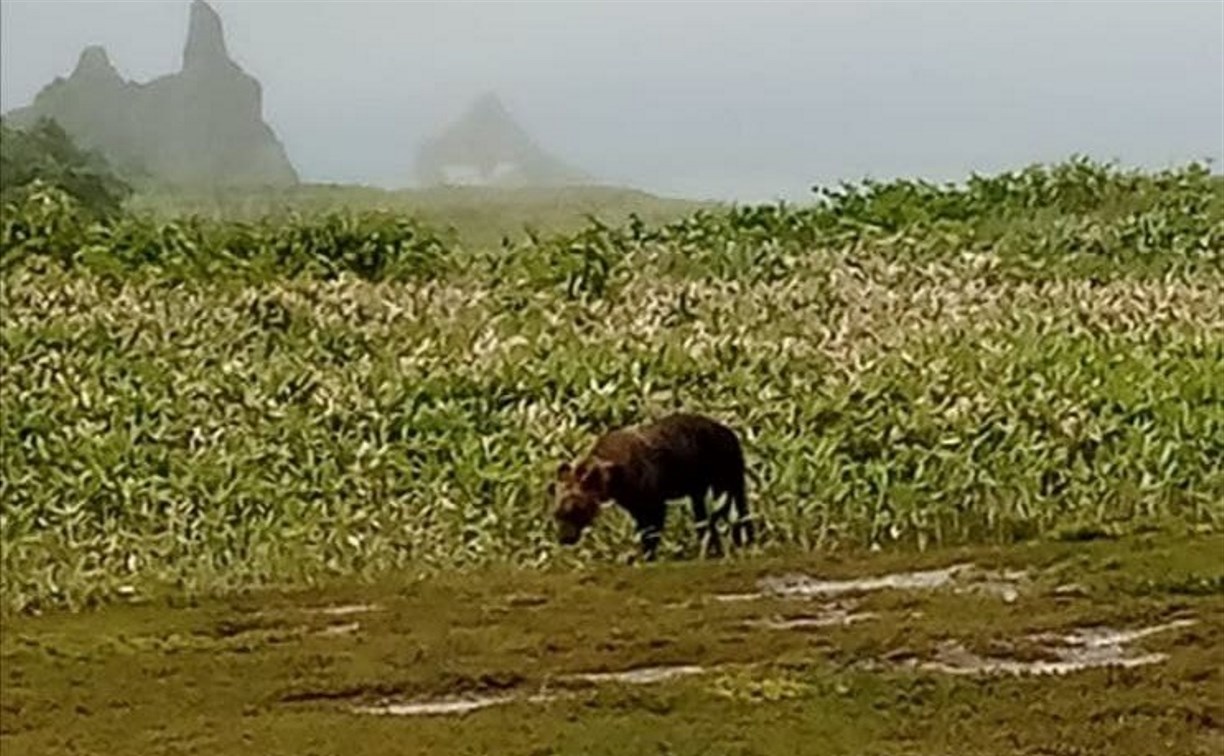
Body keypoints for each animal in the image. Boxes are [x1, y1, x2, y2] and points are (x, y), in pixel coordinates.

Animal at [555, 411, 753, 560]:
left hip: (726, 481)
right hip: (702, 491)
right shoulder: (635, 505)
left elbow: (650, 534)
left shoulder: (654, 501)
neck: (614, 483)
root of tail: (733, 436)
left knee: (737, 513)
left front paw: (646, 556)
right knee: (707, 520)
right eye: (556, 512)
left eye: (575, 508)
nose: (564, 538)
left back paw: (744, 543)